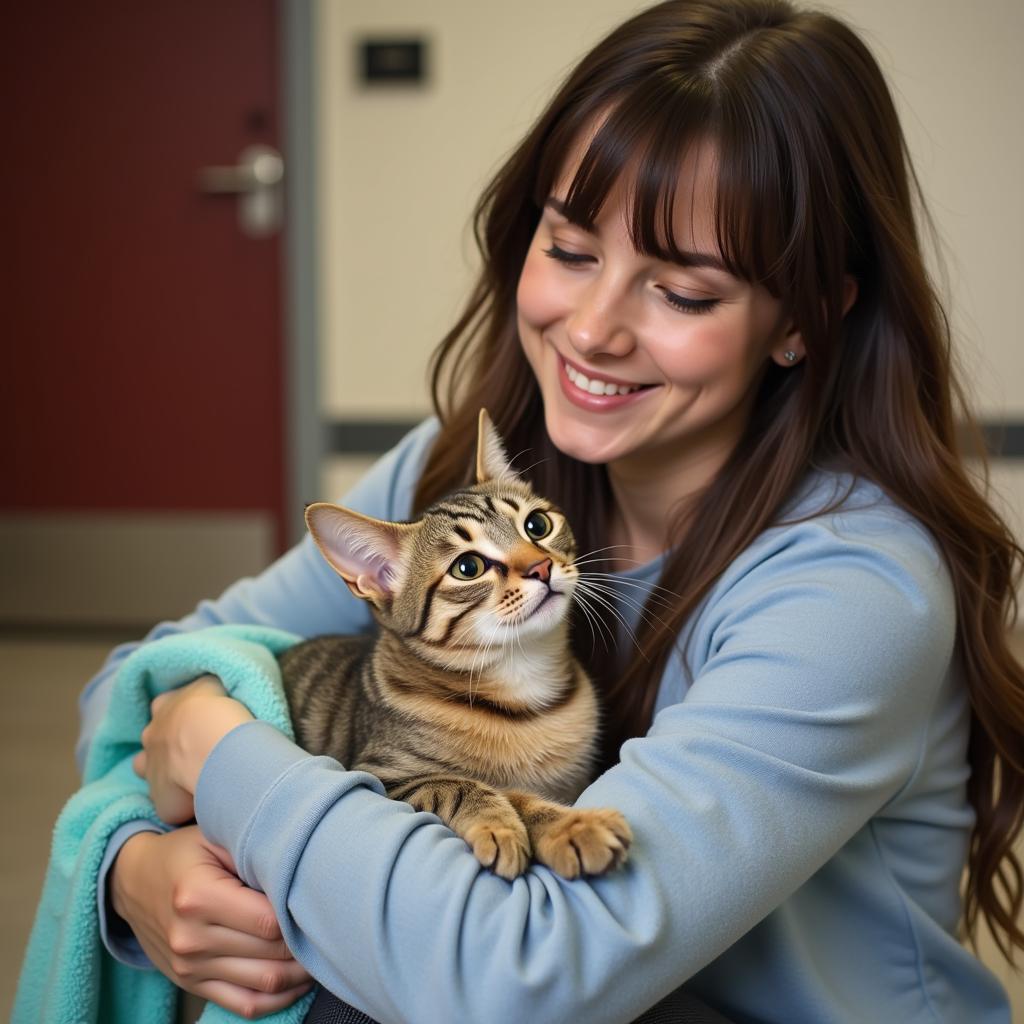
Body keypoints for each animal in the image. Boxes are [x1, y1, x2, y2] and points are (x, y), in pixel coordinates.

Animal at [280, 411, 630, 876]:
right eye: (468, 567)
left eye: (537, 525)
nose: (541, 567)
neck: (524, 683)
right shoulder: (379, 778)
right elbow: (474, 786)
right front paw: (565, 825)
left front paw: (567, 823)